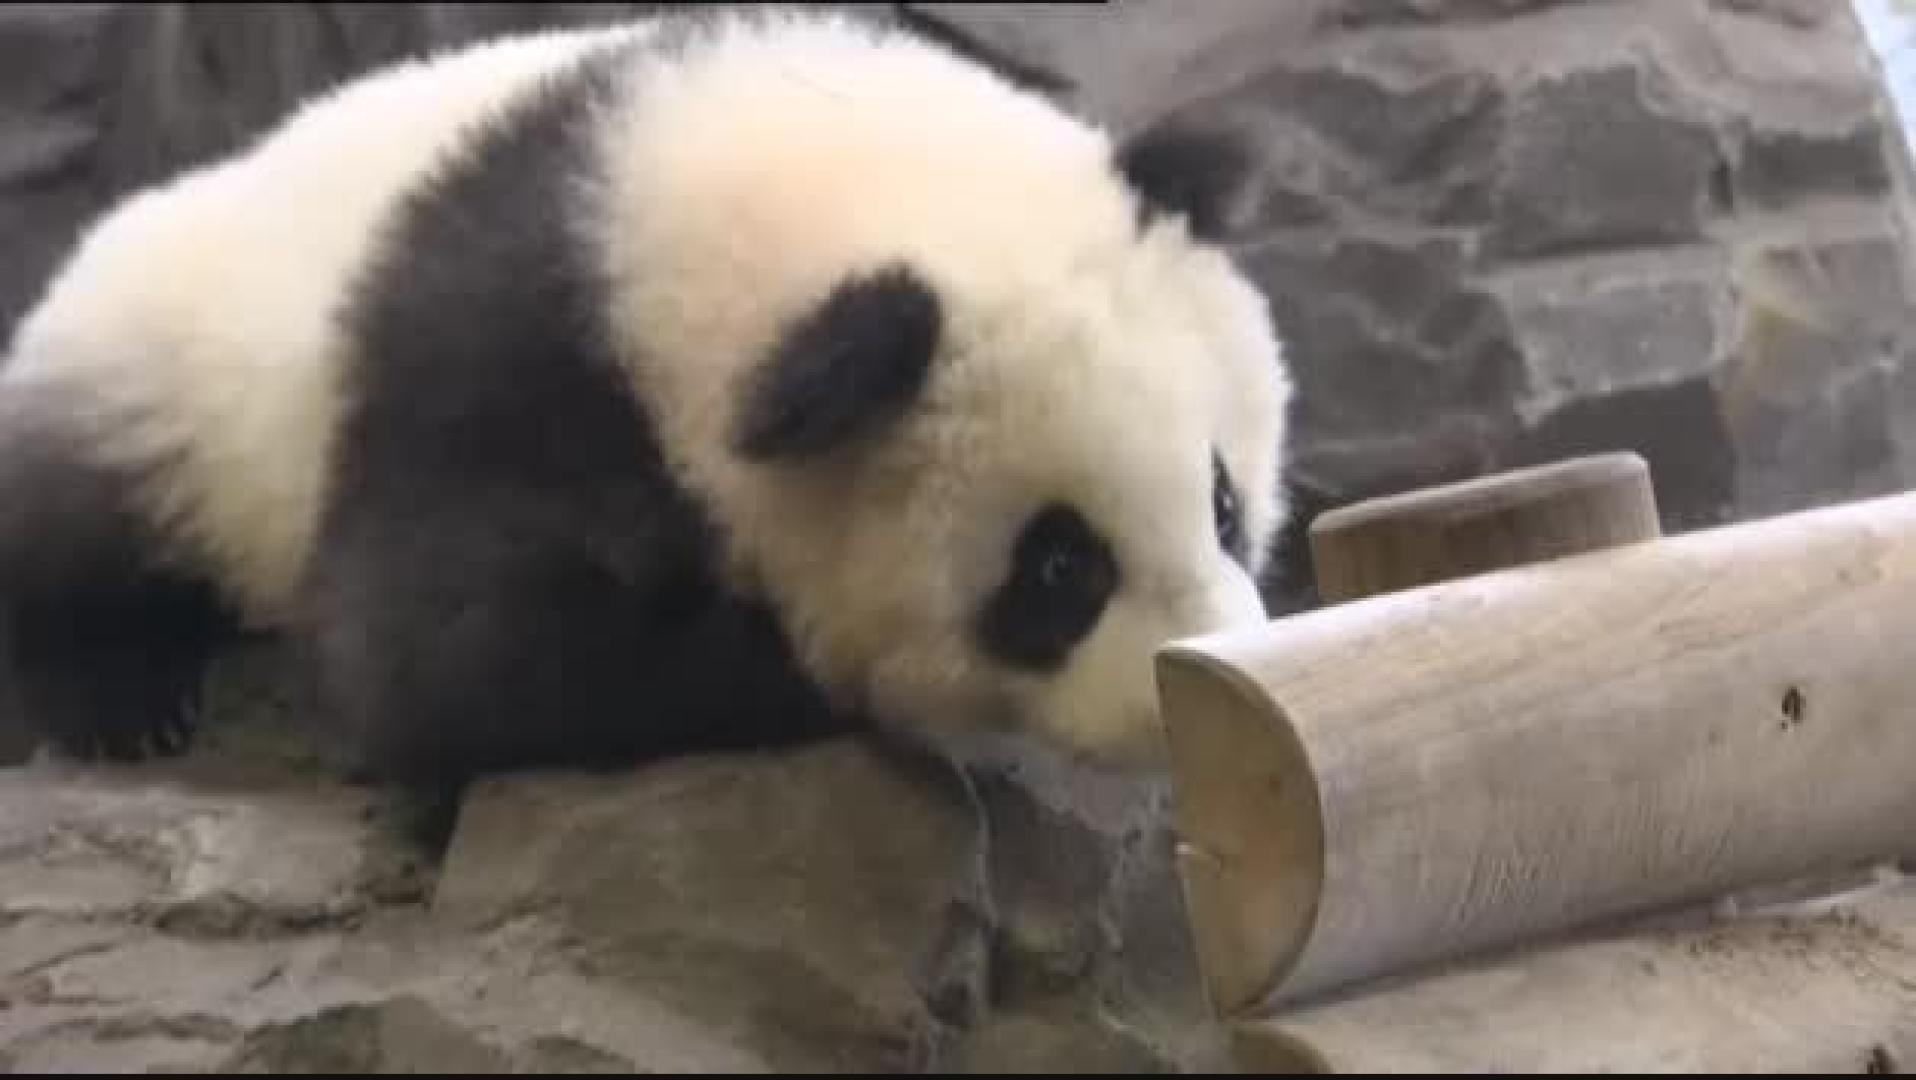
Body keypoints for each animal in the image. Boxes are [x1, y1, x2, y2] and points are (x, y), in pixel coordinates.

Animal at [0, 6, 1292, 786]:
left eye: (1223, 502)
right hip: (154, 373)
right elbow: (437, 661)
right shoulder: (501, 374)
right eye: (1059, 568)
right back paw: (123, 698)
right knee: (73, 525)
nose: (1201, 682)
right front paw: (793, 668)